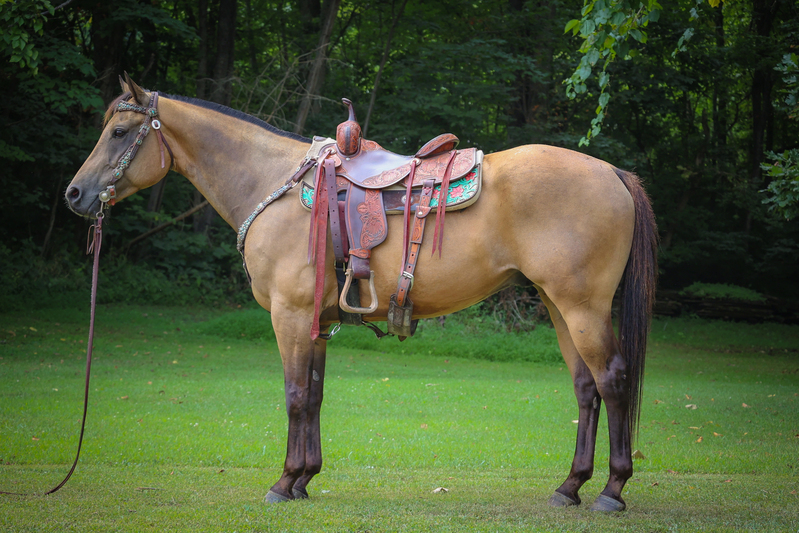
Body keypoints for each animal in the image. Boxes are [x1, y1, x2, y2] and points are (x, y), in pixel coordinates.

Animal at [67, 75, 656, 512]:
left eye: (120, 132)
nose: (75, 194)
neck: (272, 183)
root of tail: (612, 172)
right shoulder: (315, 320)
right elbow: (315, 394)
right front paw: (304, 479)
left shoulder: (290, 314)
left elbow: (294, 394)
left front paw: (283, 482)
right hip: (560, 306)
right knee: (586, 388)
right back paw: (570, 487)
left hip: (582, 307)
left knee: (613, 379)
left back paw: (611, 490)